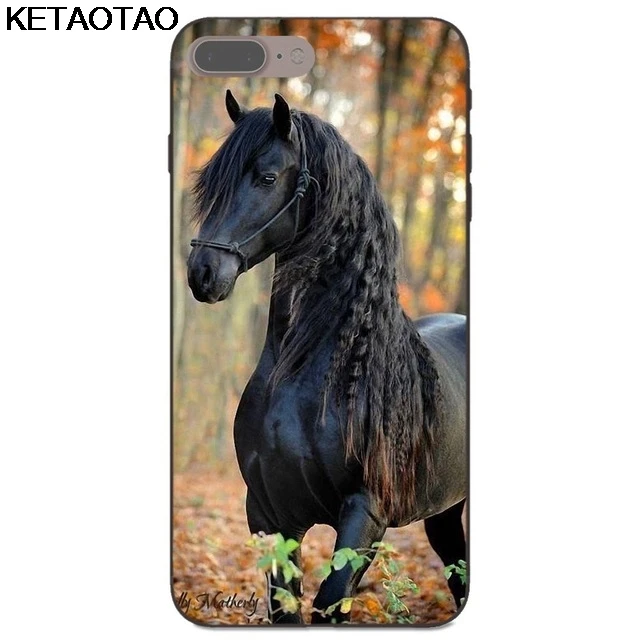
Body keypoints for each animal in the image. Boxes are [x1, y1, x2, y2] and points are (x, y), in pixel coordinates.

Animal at [186, 90, 467, 624]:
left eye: (267, 177)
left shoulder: (365, 515)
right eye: (210, 182)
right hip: (443, 513)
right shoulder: (269, 515)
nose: (202, 272)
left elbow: (330, 602)